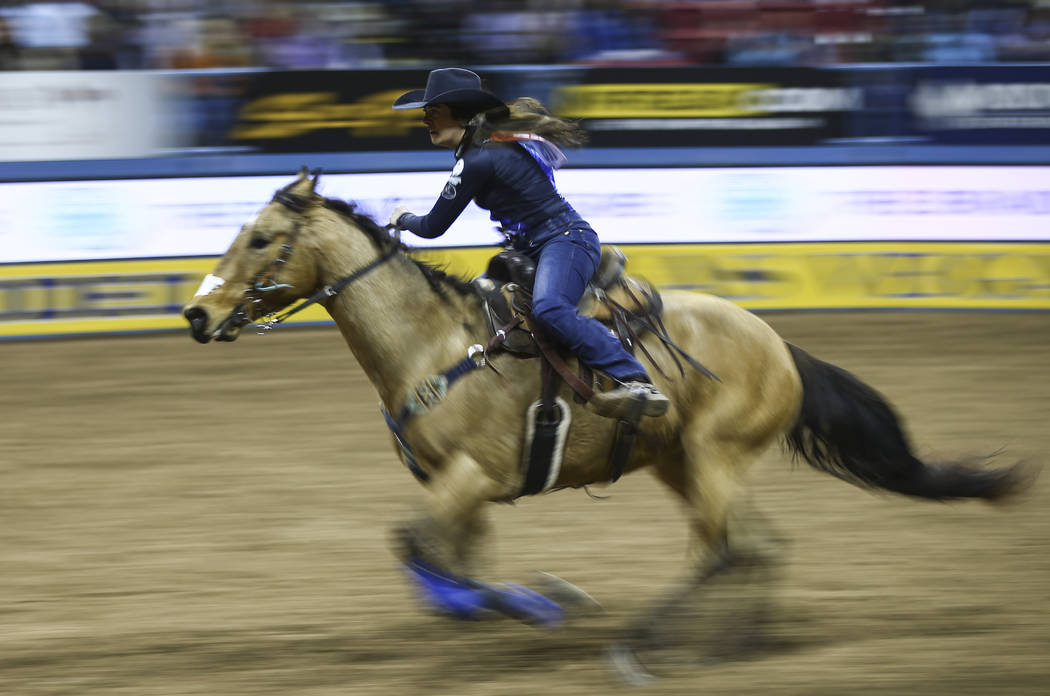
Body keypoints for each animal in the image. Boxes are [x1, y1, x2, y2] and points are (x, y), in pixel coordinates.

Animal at [182, 171, 1033, 684]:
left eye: (261, 238)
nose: (196, 314)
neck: (435, 345)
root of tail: (777, 344)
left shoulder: (470, 479)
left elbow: (424, 552)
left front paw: (546, 603)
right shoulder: (463, 493)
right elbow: (446, 564)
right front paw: (506, 609)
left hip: (715, 455)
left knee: (725, 549)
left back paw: (642, 648)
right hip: (682, 462)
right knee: (753, 545)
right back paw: (736, 645)